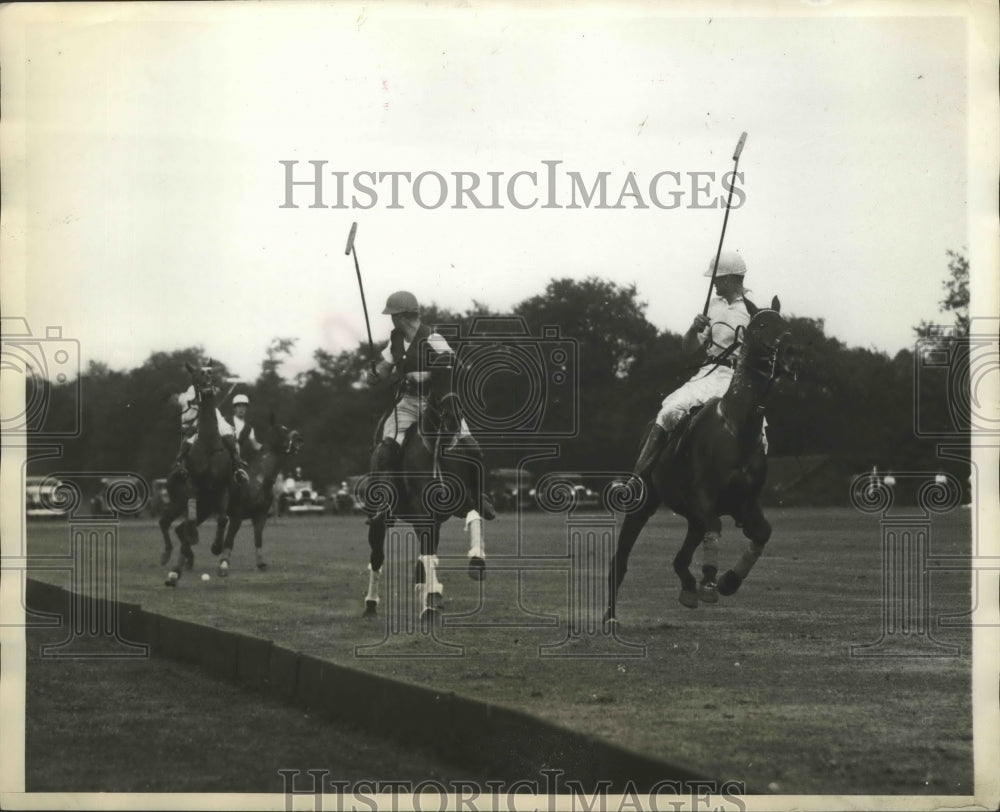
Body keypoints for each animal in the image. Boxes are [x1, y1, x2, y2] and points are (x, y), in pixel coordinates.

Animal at [161, 364, 239, 588]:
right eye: (196, 376)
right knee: (175, 525)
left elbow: (222, 519)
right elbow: (190, 524)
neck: (209, 443)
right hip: (189, 502)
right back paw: (173, 564)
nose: (206, 387)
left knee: (181, 527)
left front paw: (215, 547)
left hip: (209, 504)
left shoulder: (224, 486)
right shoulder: (193, 486)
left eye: (211, 372)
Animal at [213, 418, 302, 576]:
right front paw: (224, 564)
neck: (258, 480)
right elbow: (230, 539)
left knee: (221, 521)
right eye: (281, 430)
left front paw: (261, 563)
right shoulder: (237, 515)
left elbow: (258, 538)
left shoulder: (261, 516)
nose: (299, 438)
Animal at [604, 298, 792, 620]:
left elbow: (762, 533)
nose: (785, 355)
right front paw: (709, 583)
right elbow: (715, 527)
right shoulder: (704, 497)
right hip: (645, 503)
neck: (738, 426)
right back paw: (611, 616)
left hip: (692, 517)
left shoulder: (745, 502)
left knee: (680, 557)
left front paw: (727, 581)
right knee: (622, 559)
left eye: (787, 326)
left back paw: (689, 588)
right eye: (761, 325)